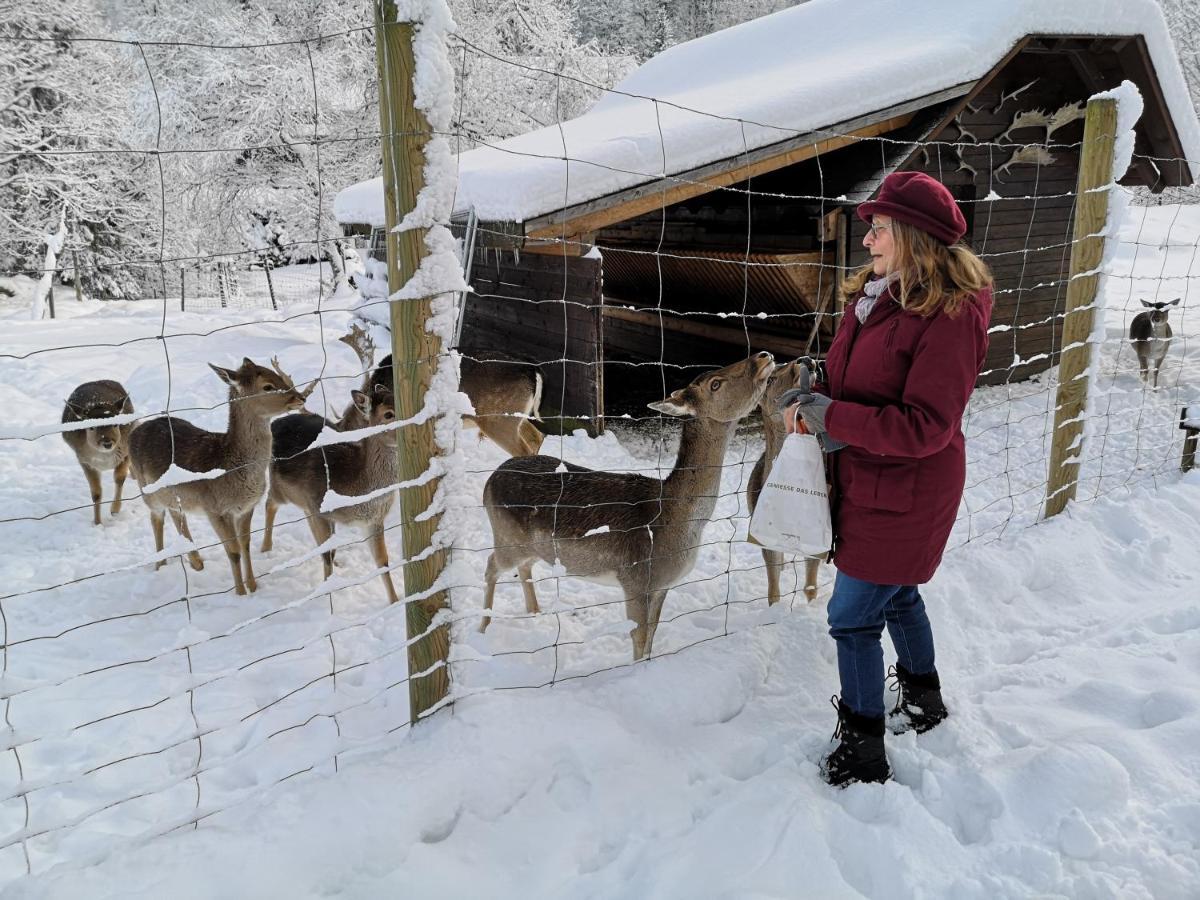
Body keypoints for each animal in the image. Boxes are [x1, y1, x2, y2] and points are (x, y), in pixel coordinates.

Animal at [63, 381, 135, 525]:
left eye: (115, 424)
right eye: (91, 427)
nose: (107, 443)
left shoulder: (125, 451)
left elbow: (119, 478)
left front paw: (115, 510)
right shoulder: (84, 461)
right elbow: (96, 494)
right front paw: (97, 522)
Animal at [129, 355, 312, 595]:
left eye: (279, 376)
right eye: (268, 386)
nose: (301, 397)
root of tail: (134, 431)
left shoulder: (246, 507)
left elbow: (245, 544)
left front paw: (253, 586)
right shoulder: (215, 508)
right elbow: (232, 551)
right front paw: (241, 593)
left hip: (174, 497)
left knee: (177, 516)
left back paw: (197, 562)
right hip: (146, 490)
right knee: (156, 518)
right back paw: (161, 564)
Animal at [265, 381, 400, 607]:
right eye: (388, 414)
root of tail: (275, 422)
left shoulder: (374, 519)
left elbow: (382, 561)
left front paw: (395, 601)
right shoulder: (319, 509)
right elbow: (327, 554)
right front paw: (327, 596)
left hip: (305, 503)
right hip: (281, 489)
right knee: (269, 503)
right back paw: (265, 548)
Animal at [475, 355, 768, 662]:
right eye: (715, 383)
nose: (763, 357)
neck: (677, 522)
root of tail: (490, 479)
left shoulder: (662, 586)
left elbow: (652, 633)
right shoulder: (635, 580)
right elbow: (638, 636)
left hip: (532, 547)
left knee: (525, 567)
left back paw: (534, 611)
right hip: (507, 539)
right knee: (491, 565)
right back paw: (483, 628)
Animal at [744, 360, 820, 607]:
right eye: (770, 379)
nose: (807, 360)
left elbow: (810, 585)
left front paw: (811, 607)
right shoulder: (760, 531)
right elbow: (773, 586)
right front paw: (774, 610)